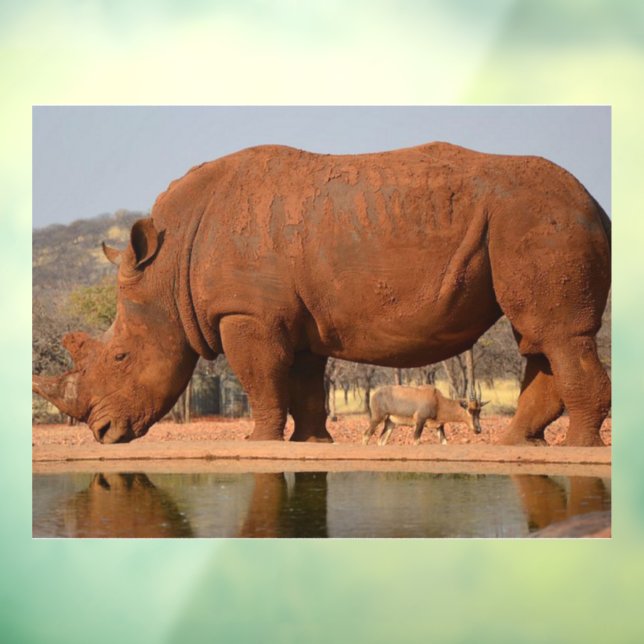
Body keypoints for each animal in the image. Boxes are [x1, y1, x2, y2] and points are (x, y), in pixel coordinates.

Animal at [32, 142, 611, 446]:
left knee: (558, 336)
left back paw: (576, 450)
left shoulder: (247, 314)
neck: (169, 266)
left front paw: (259, 443)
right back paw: (520, 444)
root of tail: (597, 206)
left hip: (542, 221)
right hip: (530, 223)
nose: (102, 432)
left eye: (121, 356)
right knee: (539, 340)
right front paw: (311, 443)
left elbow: (261, 380)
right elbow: (305, 385)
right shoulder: (294, 320)